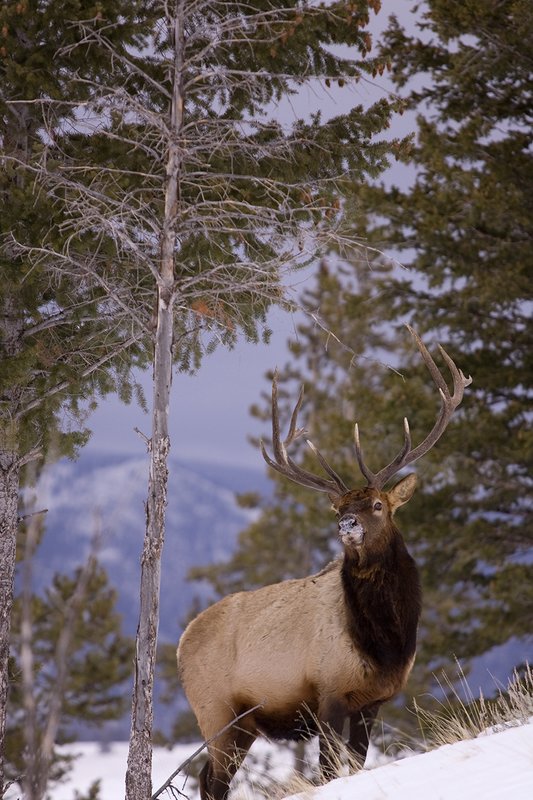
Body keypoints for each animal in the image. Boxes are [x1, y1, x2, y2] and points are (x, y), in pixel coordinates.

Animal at [177, 326, 472, 800]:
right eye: (338, 510)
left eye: (377, 505)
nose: (347, 525)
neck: (386, 641)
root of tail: (181, 642)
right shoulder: (328, 694)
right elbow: (330, 771)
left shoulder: (372, 702)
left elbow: (356, 762)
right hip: (216, 712)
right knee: (214, 781)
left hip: (242, 727)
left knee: (207, 778)